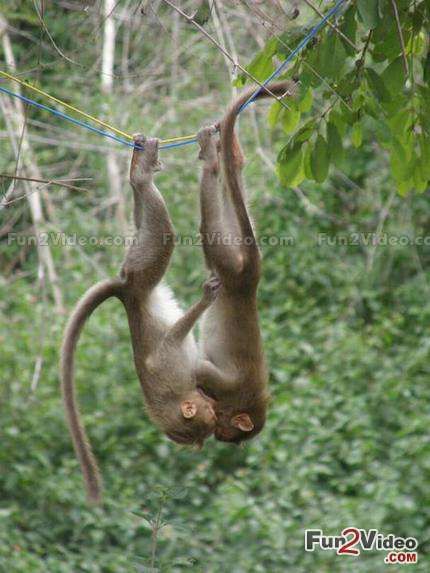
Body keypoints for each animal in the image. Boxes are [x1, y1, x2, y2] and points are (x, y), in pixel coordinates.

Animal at [61, 135, 220, 500]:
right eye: (208, 422)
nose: (216, 412)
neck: (176, 396)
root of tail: (126, 290)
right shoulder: (172, 366)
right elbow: (174, 338)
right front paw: (206, 298)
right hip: (143, 269)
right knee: (164, 236)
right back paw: (142, 177)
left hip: (136, 260)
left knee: (144, 219)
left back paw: (138, 172)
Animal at [196, 82, 294, 444]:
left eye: (226, 434)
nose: (217, 434)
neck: (244, 397)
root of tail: (251, 274)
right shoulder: (232, 386)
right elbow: (202, 369)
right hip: (232, 266)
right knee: (212, 236)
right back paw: (213, 161)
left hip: (235, 257)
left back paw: (229, 156)